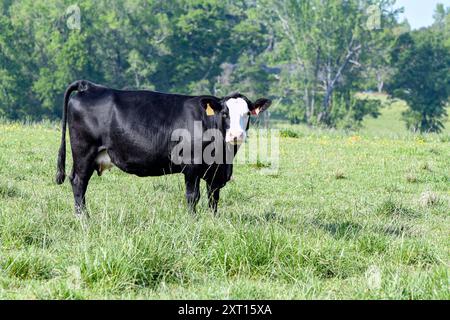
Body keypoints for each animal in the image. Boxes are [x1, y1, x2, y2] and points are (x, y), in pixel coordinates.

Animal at [54, 80, 268, 215]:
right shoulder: (191, 166)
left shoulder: (216, 172)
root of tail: (89, 86)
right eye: (224, 113)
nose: (236, 135)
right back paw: (83, 218)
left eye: (247, 113)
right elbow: (193, 196)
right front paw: (193, 220)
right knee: (78, 182)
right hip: (84, 151)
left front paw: (213, 220)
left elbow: (213, 198)